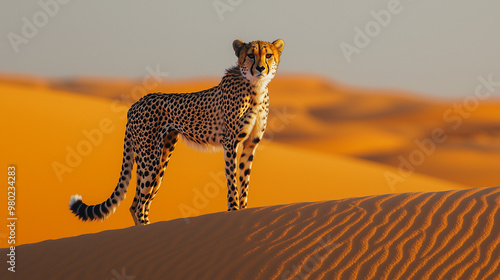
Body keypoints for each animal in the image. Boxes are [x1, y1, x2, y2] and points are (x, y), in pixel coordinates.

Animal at [69, 38, 286, 225]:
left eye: (268, 55)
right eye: (250, 55)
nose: (260, 68)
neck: (256, 87)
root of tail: (135, 104)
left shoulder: (250, 144)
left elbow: (244, 180)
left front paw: (244, 210)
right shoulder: (230, 142)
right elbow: (232, 181)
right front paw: (233, 211)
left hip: (162, 157)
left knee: (139, 202)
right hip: (150, 159)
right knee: (138, 205)